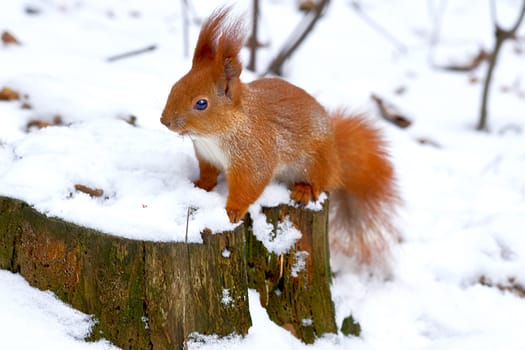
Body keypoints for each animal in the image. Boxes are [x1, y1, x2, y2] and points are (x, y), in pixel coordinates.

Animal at [160, 7, 398, 262]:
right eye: (174, 86)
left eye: (201, 103)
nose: (164, 121)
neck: (213, 137)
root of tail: (336, 154)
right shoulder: (206, 156)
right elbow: (208, 174)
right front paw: (200, 187)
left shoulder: (254, 157)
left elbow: (249, 186)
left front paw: (232, 211)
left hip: (316, 163)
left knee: (322, 183)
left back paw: (304, 190)